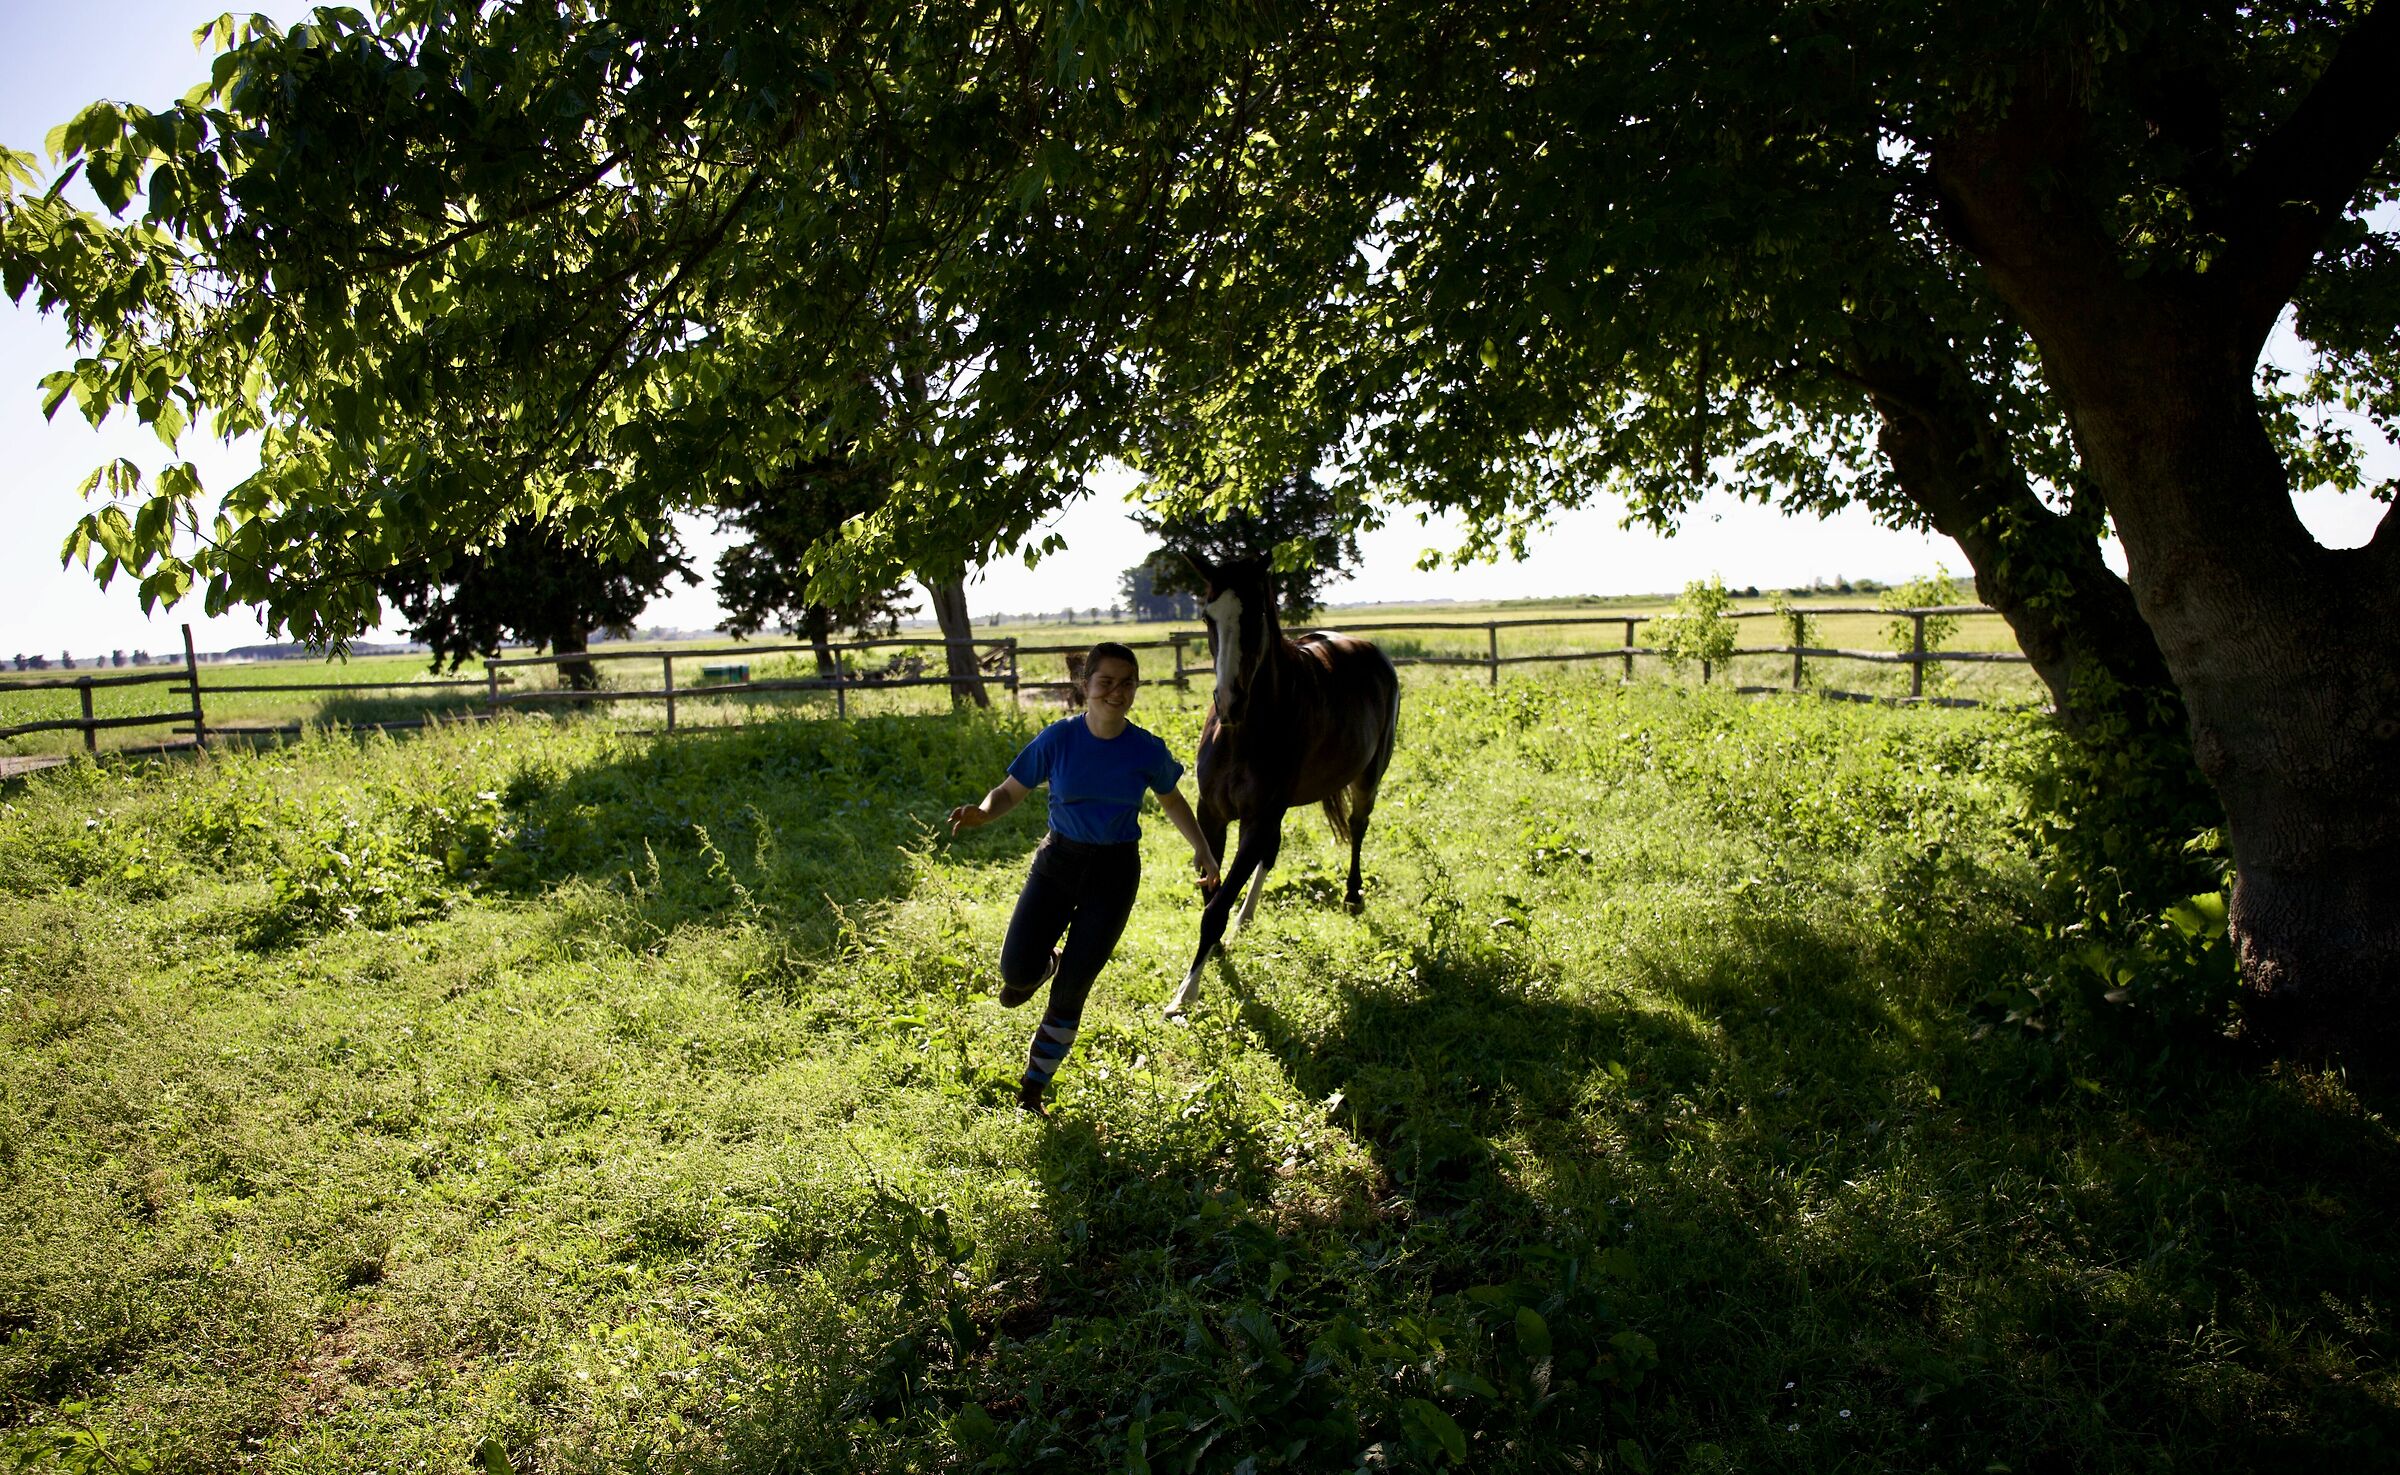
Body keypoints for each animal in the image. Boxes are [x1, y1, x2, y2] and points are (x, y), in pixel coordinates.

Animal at [1165, 555, 1400, 1015]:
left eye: (1257, 615)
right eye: (1207, 617)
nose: (1229, 701)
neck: (1243, 732)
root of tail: (1372, 652)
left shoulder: (1256, 818)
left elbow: (1215, 907)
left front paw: (1186, 993)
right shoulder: (1213, 815)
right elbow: (1212, 890)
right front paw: (1216, 953)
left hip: (1367, 777)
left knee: (1358, 827)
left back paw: (1352, 895)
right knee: (1272, 853)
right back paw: (1247, 918)